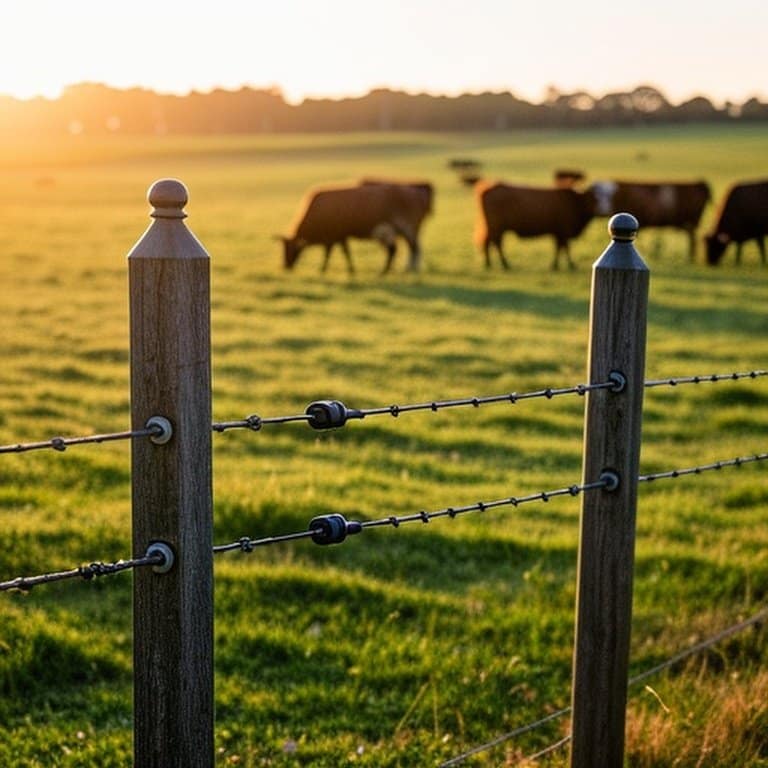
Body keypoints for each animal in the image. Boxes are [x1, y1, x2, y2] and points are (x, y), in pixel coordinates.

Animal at [279, 184, 423, 275]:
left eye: (290, 250)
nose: (285, 266)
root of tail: (412, 191)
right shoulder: (337, 236)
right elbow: (339, 252)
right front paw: (348, 269)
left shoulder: (337, 234)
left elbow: (336, 252)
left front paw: (325, 269)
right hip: (388, 230)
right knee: (394, 250)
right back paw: (386, 271)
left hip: (406, 227)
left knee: (411, 248)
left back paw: (398, 271)